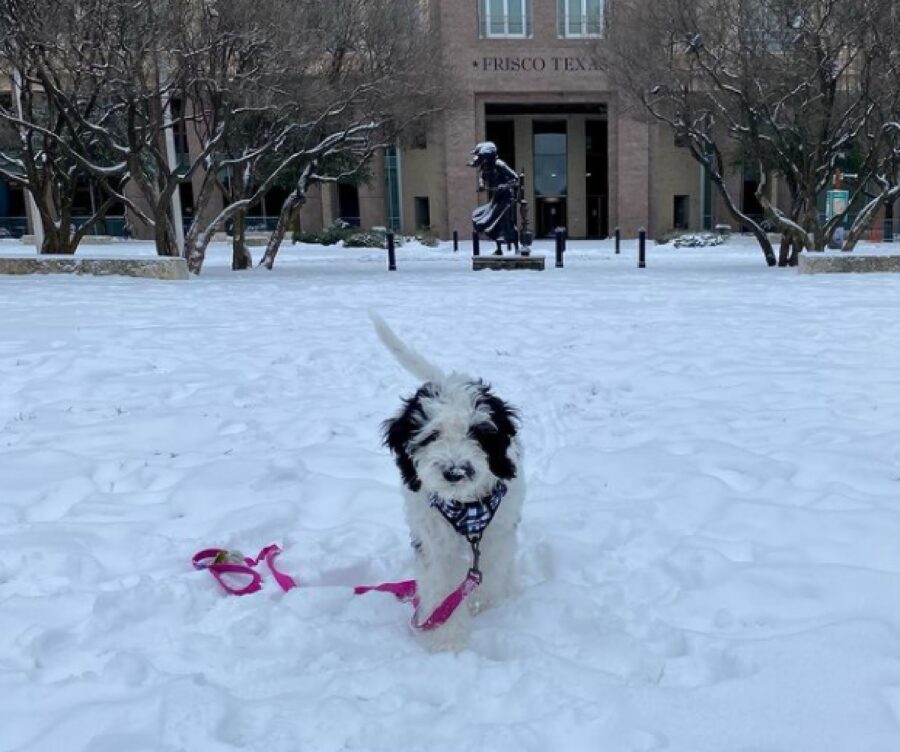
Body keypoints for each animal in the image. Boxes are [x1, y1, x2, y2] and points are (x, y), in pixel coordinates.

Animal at [370, 314, 524, 648]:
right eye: (432, 436)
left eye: (477, 433)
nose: (455, 471)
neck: (467, 507)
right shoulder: (432, 539)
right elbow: (440, 585)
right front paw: (448, 640)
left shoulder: (498, 533)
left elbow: (493, 572)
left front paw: (487, 607)